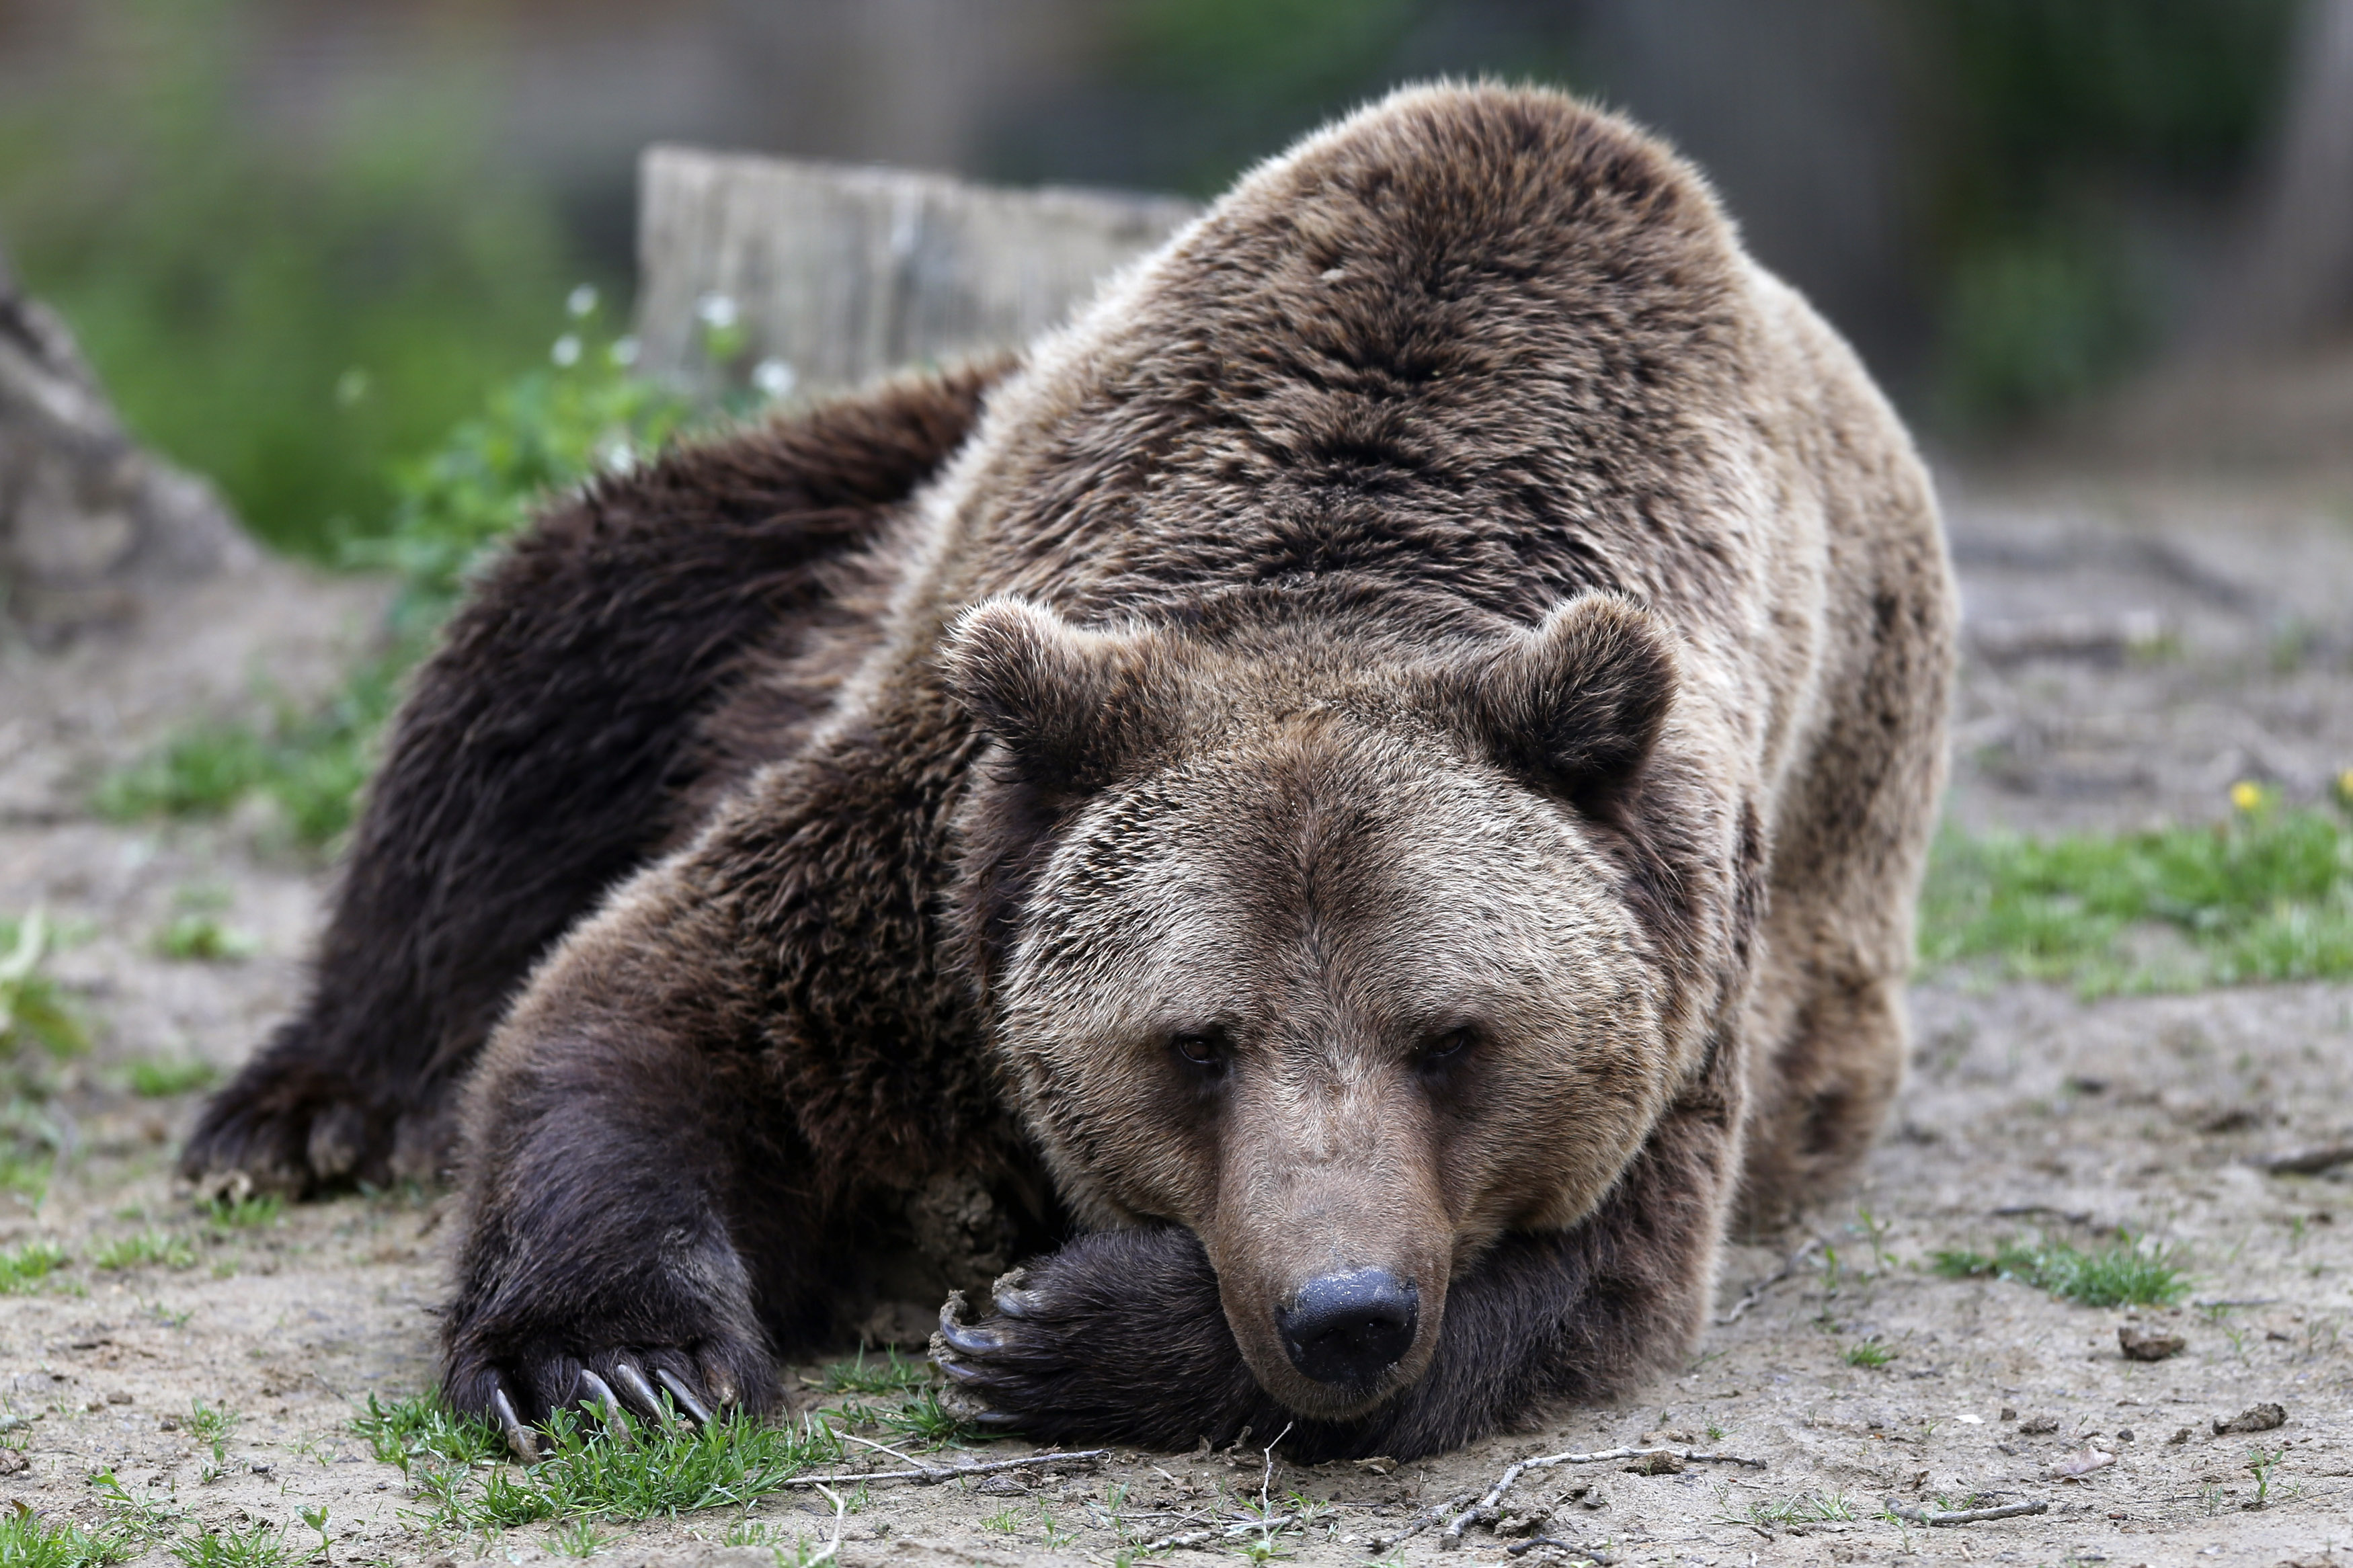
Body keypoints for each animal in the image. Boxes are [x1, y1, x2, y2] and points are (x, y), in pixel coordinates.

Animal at [181, 82, 1954, 1462]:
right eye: (1198, 1043)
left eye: (1455, 1036)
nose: (1345, 1308)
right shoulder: (944, 836)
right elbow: (650, 1007)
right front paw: (615, 1361)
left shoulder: (1701, 932)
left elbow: (1592, 1275)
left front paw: (1055, 1324)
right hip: (836, 513)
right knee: (544, 667)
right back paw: (313, 1105)